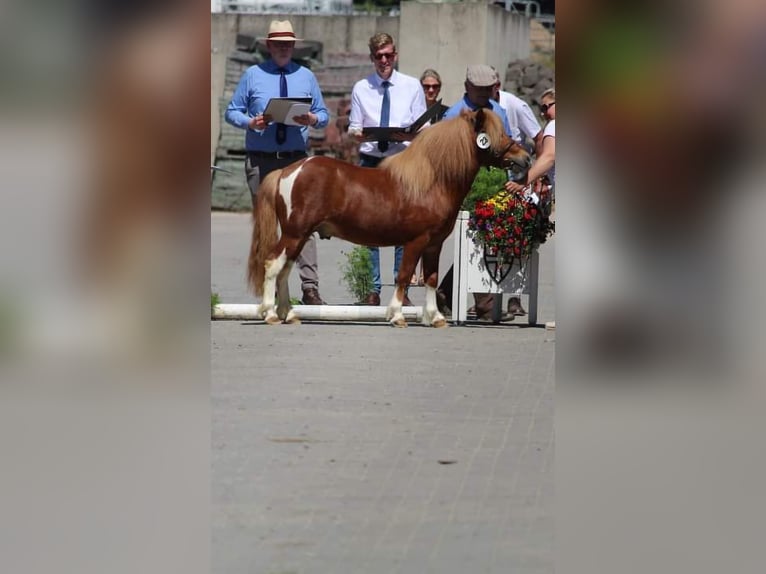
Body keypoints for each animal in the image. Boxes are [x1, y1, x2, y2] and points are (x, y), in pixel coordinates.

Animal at [247, 107, 531, 327]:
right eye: (499, 134)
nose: (525, 158)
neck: (433, 182)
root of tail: (288, 170)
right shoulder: (416, 241)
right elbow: (404, 276)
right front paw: (397, 316)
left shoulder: (434, 244)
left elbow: (431, 278)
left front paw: (436, 318)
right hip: (295, 234)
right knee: (273, 265)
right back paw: (270, 314)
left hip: (300, 236)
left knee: (284, 271)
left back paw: (289, 314)